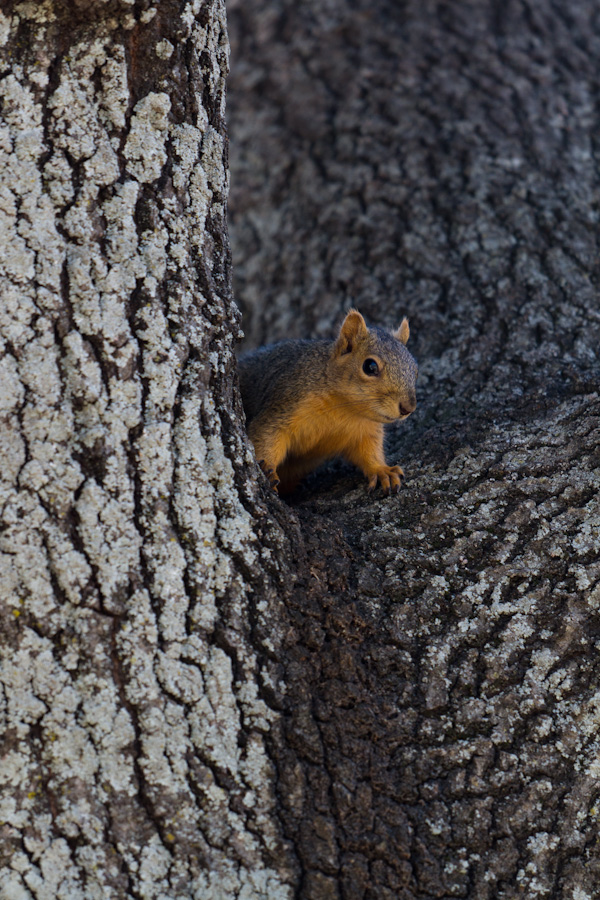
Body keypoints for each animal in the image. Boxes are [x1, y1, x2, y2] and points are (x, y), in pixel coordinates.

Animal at [238, 309, 418, 495]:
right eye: (370, 366)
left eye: (415, 369)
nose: (408, 408)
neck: (344, 408)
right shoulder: (285, 403)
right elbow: (266, 436)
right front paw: (268, 471)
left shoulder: (366, 431)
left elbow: (369, 451)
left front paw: (382, 470)